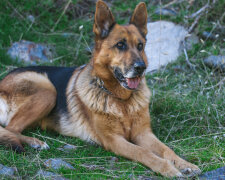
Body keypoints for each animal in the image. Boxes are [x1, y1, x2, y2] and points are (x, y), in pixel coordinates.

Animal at [0, 0, 200, 177]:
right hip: (48, 90)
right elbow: (143, 152)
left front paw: (184, 164)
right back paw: (36, 142)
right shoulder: (114, 140)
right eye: (120, 45)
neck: (122, 101)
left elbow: (166, 149)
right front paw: (167, 169)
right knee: (11, 129)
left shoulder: (143, 133)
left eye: (140, 46)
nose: (141, 67)